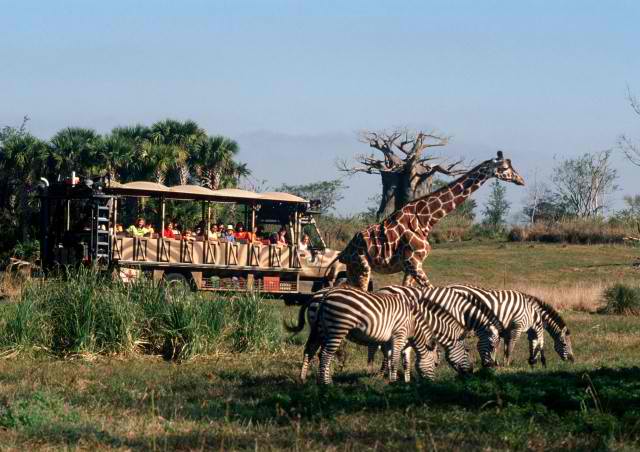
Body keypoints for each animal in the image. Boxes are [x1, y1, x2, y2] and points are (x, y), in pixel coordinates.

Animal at [284, 288, 440, 384]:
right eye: (435, 364)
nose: (432, 384)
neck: (413, 323)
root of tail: (325, 295)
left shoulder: (388, 340)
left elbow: (389, 359)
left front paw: (389, 379)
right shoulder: (399, 335)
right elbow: (395, 360)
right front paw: (394, 381)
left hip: (319, 330)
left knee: (310, 351)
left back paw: (304, 379)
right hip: (337, 328)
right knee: (325, 354)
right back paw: (326, 383)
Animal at [332, 152, 524, 290]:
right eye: (505, 167)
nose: (521, 180)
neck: (425, 220)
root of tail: (345, 251)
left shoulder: (410, 266)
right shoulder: (414, 263)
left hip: (352, 270)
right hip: (362, 266)